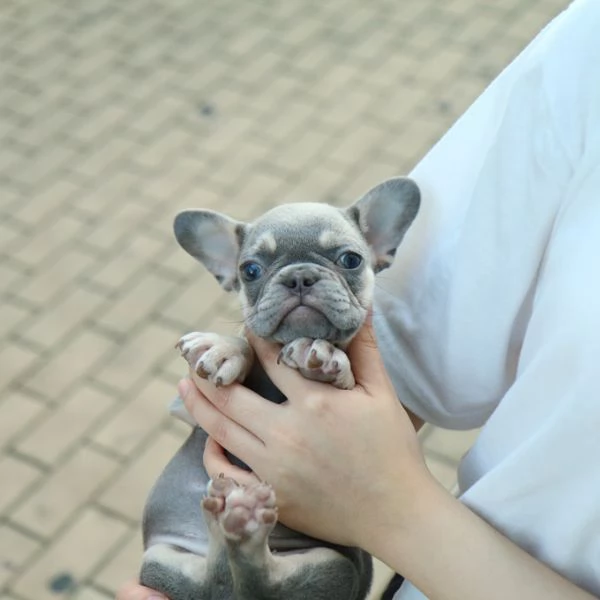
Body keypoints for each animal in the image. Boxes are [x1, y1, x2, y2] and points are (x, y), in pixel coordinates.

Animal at [141, 178, 422, 600]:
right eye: (250, 270)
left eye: (351, 260)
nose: (299, 276)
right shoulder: (186, 408)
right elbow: (245, 344)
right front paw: (223, 348)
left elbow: (343, 372)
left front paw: (322, 356)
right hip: (159, 561)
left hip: (334, 567)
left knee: (258, 580)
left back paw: (239, 524)